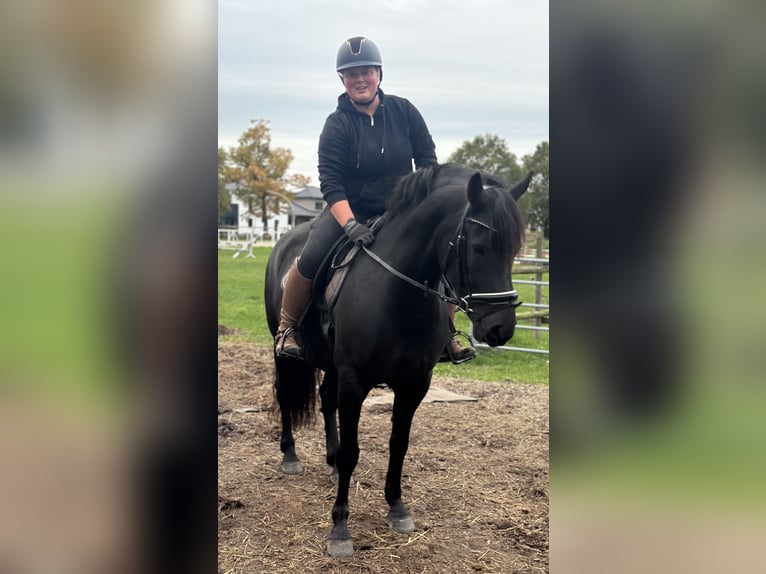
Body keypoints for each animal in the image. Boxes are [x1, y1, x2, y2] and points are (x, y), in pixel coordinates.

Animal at [264, 164, 528, 560]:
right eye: (479, 247)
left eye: (514, 249)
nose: (501, 328)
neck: (398, 295)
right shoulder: (355, 381)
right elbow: (353, 452)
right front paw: (340, 529)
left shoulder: (414, 384)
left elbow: (398, 444)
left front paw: (397, 508)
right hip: (283, 349)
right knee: (284, 394)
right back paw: (290, 456)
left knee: (326, 399)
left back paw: (329, 464)